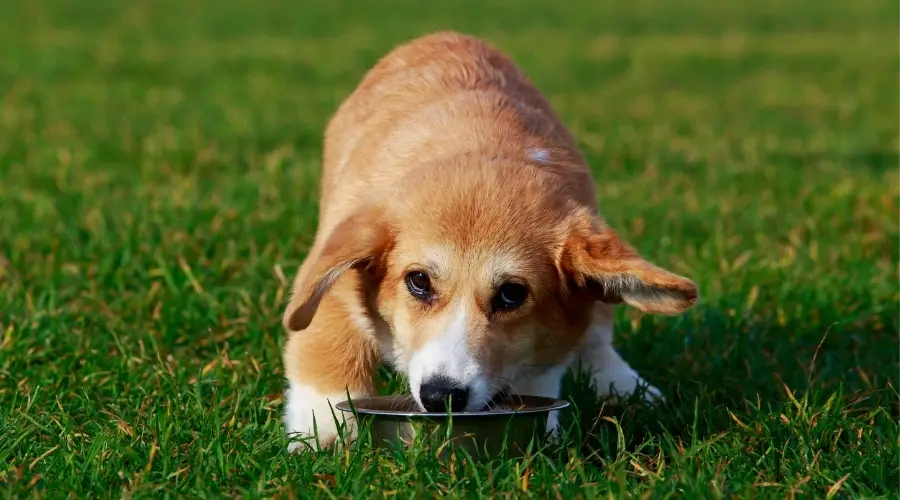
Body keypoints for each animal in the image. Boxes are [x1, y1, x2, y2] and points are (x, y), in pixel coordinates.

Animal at [278, 32, 700, 454]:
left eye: (512, 294)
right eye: (418, 281)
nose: (441, 397)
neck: (480, 151)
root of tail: (447, 35)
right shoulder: (336, 263)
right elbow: (329, 350)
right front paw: (323, 436)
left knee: (595, 336)